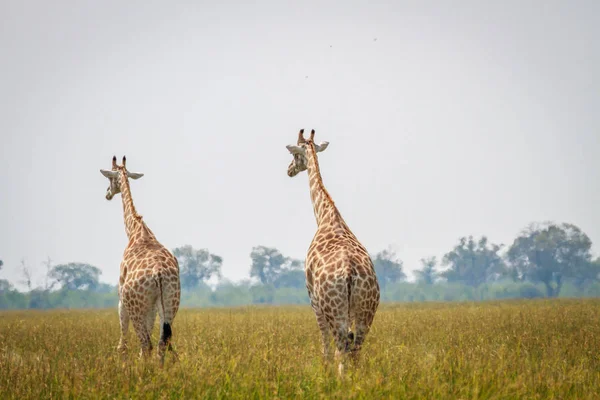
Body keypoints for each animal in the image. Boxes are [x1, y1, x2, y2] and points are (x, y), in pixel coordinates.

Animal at [100, 156, 180, 366]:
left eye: (109, 178)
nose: (107, 193)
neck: (136, 231)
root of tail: (159, 274)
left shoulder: (121, 297)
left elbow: (122, 342)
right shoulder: (151, 306)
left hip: (135, 305)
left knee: (146, 344)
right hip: (170, 303)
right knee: (161, 342)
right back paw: (159, 370)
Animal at [286, 130, 380, 376]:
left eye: (295, 155)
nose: (289, 170)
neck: (326, 216)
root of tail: (350, 274)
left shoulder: (313, 299)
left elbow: (324, 345)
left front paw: (324, 372)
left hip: (334, 309)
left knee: (341, 346)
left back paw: (340, 378)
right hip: (366, 311)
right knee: (355, 348)